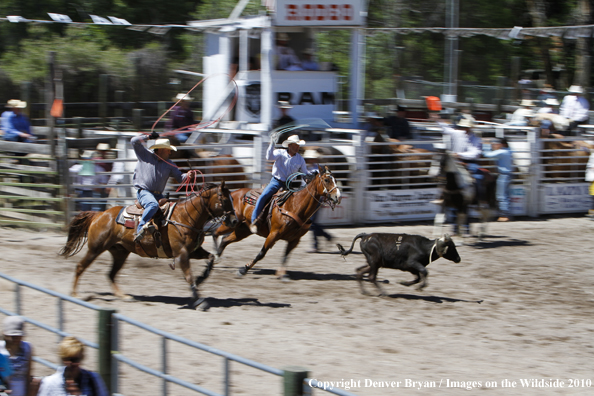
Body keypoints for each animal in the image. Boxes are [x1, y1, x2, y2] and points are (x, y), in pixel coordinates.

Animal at [58, 183, 236, 306]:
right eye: (224, 199)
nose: (234, 220)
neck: (185, 217)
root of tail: (100, 214)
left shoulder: (194, 251)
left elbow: (211, 258)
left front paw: (201, 278)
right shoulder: (182, 253)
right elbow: (188, 275)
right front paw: (199, 300)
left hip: (120, 252)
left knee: (111, 274)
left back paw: (123, 296)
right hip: (95, 248)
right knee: (80, 267)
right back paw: (75, 295)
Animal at [213, 166, 342, 280]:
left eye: (335, 179)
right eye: (326, 180)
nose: (338, 197)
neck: (295, 206)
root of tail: (233, 194)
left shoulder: (294, 240)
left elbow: (285, 256)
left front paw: (282, 275)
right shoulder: (273, 234)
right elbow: (261, 253)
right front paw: (243, 270)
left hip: (243, 230)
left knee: (225, 239)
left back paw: (216, 257)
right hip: (231, 223)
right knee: (216, 233)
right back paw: (215, 255)